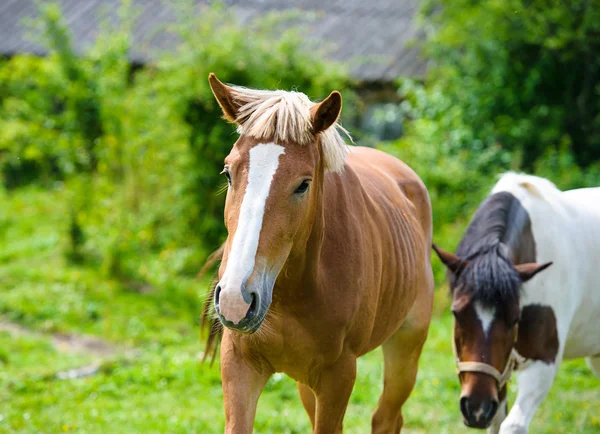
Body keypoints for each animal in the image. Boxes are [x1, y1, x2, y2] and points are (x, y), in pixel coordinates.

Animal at [204, 74, 434, 434]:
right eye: (228, 173)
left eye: (303, 184)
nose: (235, 299)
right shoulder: (238, 364)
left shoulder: (338, 377)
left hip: (406, 347)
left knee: (387, 417)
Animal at [434, 171, 600, 432]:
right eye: (456, 313)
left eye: (514, 318)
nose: (476, 408)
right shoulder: (498, 374)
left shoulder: (544, 363)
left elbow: (512, 425)